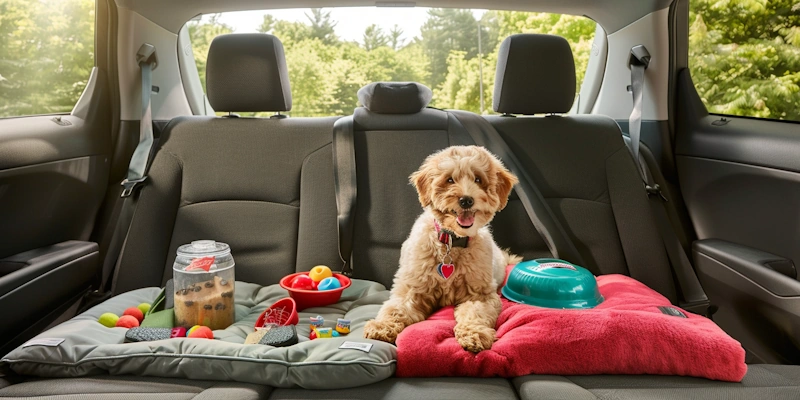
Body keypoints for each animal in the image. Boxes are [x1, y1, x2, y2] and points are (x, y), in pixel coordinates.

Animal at [360, 145, 520, 352]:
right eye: (449, 179)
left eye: (478, 179)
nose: (466, 200)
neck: (452, 241)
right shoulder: (411, 288)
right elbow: (395, 308)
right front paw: (381, 326)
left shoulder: (481, 295)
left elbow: (475, 313)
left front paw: (474, 333)